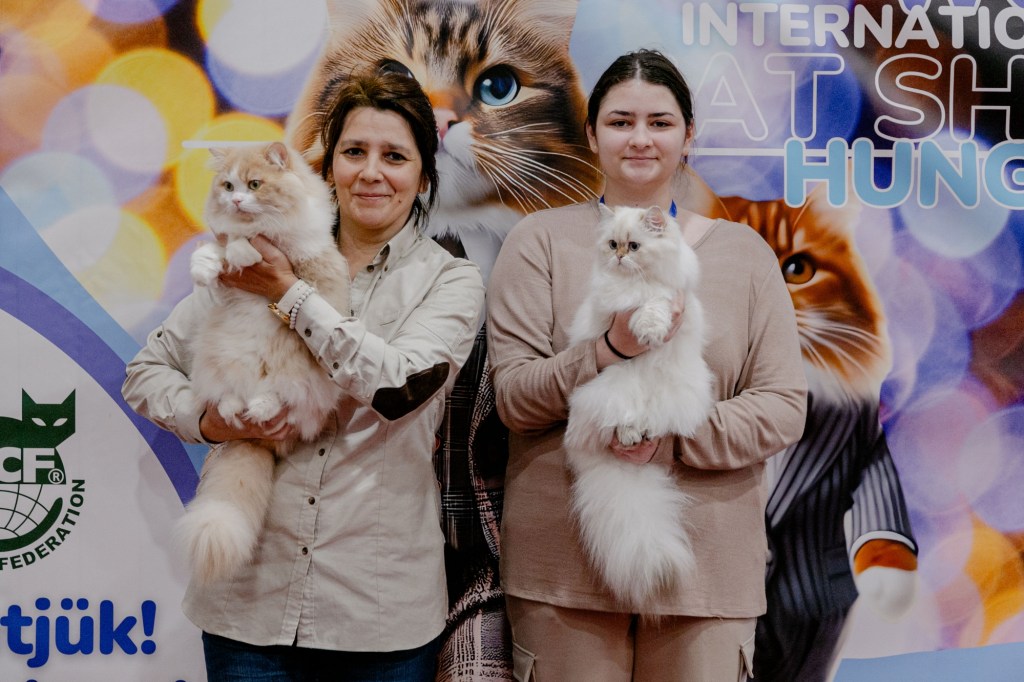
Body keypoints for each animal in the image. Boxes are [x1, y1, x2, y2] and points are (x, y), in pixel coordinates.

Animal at [180, 141, 350, 585]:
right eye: (227, 185)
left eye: (254, 184)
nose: (237, 200)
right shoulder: (221, 240)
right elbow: (214, 248)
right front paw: (205, 270)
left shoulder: (298, 252)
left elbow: (256, 242)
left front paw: (244, 251)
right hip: (216, 359)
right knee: (225, 399)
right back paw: (236, 410)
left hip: (300, 376)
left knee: (283, 399)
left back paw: (258, 407)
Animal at [563, 203, 713, 613]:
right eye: (612, 244)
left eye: (634, 246)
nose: (618, 256)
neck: (638, 281)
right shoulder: (615, 306)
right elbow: (632, 306)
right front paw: (643, 328)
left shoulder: (667, 296)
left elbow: (654, 304)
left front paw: (650, 330)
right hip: (610, 388)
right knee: (622, 420)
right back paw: (631, 435)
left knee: (653, 421)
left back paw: (642, 434)